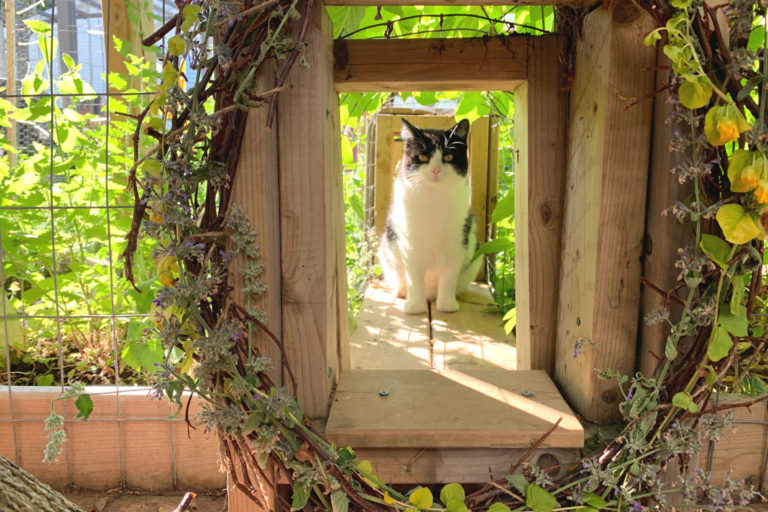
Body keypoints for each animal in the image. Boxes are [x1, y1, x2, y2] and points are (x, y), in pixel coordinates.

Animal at [378, 118, 480, 314]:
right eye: (423, 157)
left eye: (448, 157)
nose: (435, 170)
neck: (434, 198)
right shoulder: (410, 241)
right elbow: (414, 276)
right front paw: (415, 306)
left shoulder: (456, 241)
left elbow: (449, 274)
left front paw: (446, 305)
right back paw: (403, 293)